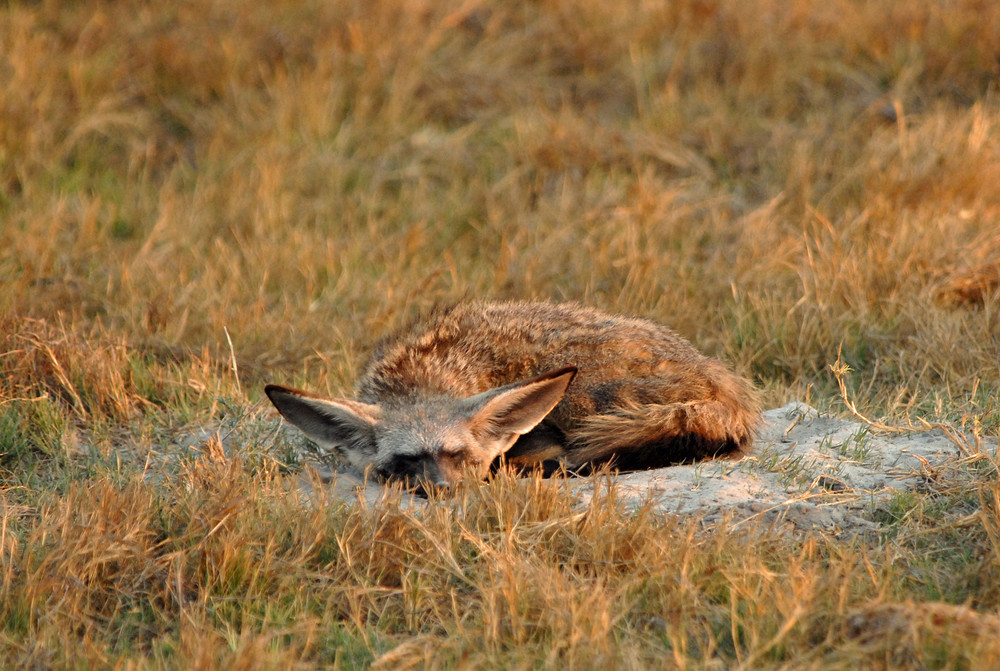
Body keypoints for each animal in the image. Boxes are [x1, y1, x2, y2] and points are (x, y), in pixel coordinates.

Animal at [266, 302, 756, 490]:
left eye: (459, 455)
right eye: (405, 461)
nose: (444, 490)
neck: (424, 375)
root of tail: (721, 378)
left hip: (577, 393)